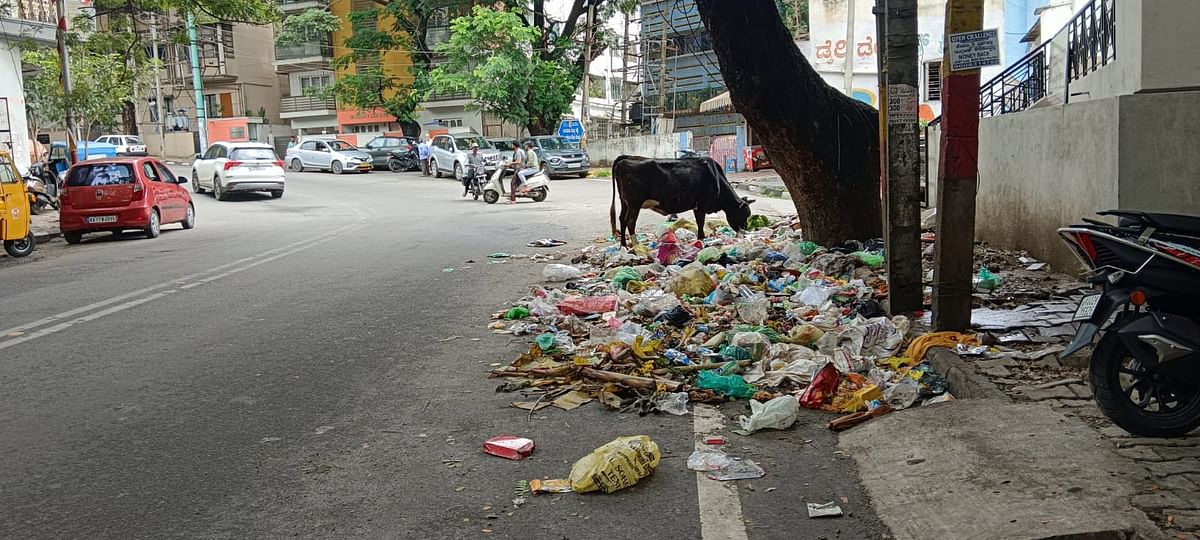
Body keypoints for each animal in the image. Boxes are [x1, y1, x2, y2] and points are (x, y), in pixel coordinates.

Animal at [604, 153, 753, 247]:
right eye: (744, 214)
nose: (745, 231)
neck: (716, 178)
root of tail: (625, 158)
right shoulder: (702, 203)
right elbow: (700, 222)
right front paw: (701, 238)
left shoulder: (697, 205)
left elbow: (699, 221)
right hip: (634, 203)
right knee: (630, 221)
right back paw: (636, 245)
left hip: (625, 202)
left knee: (622, 220)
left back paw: (624, 245)